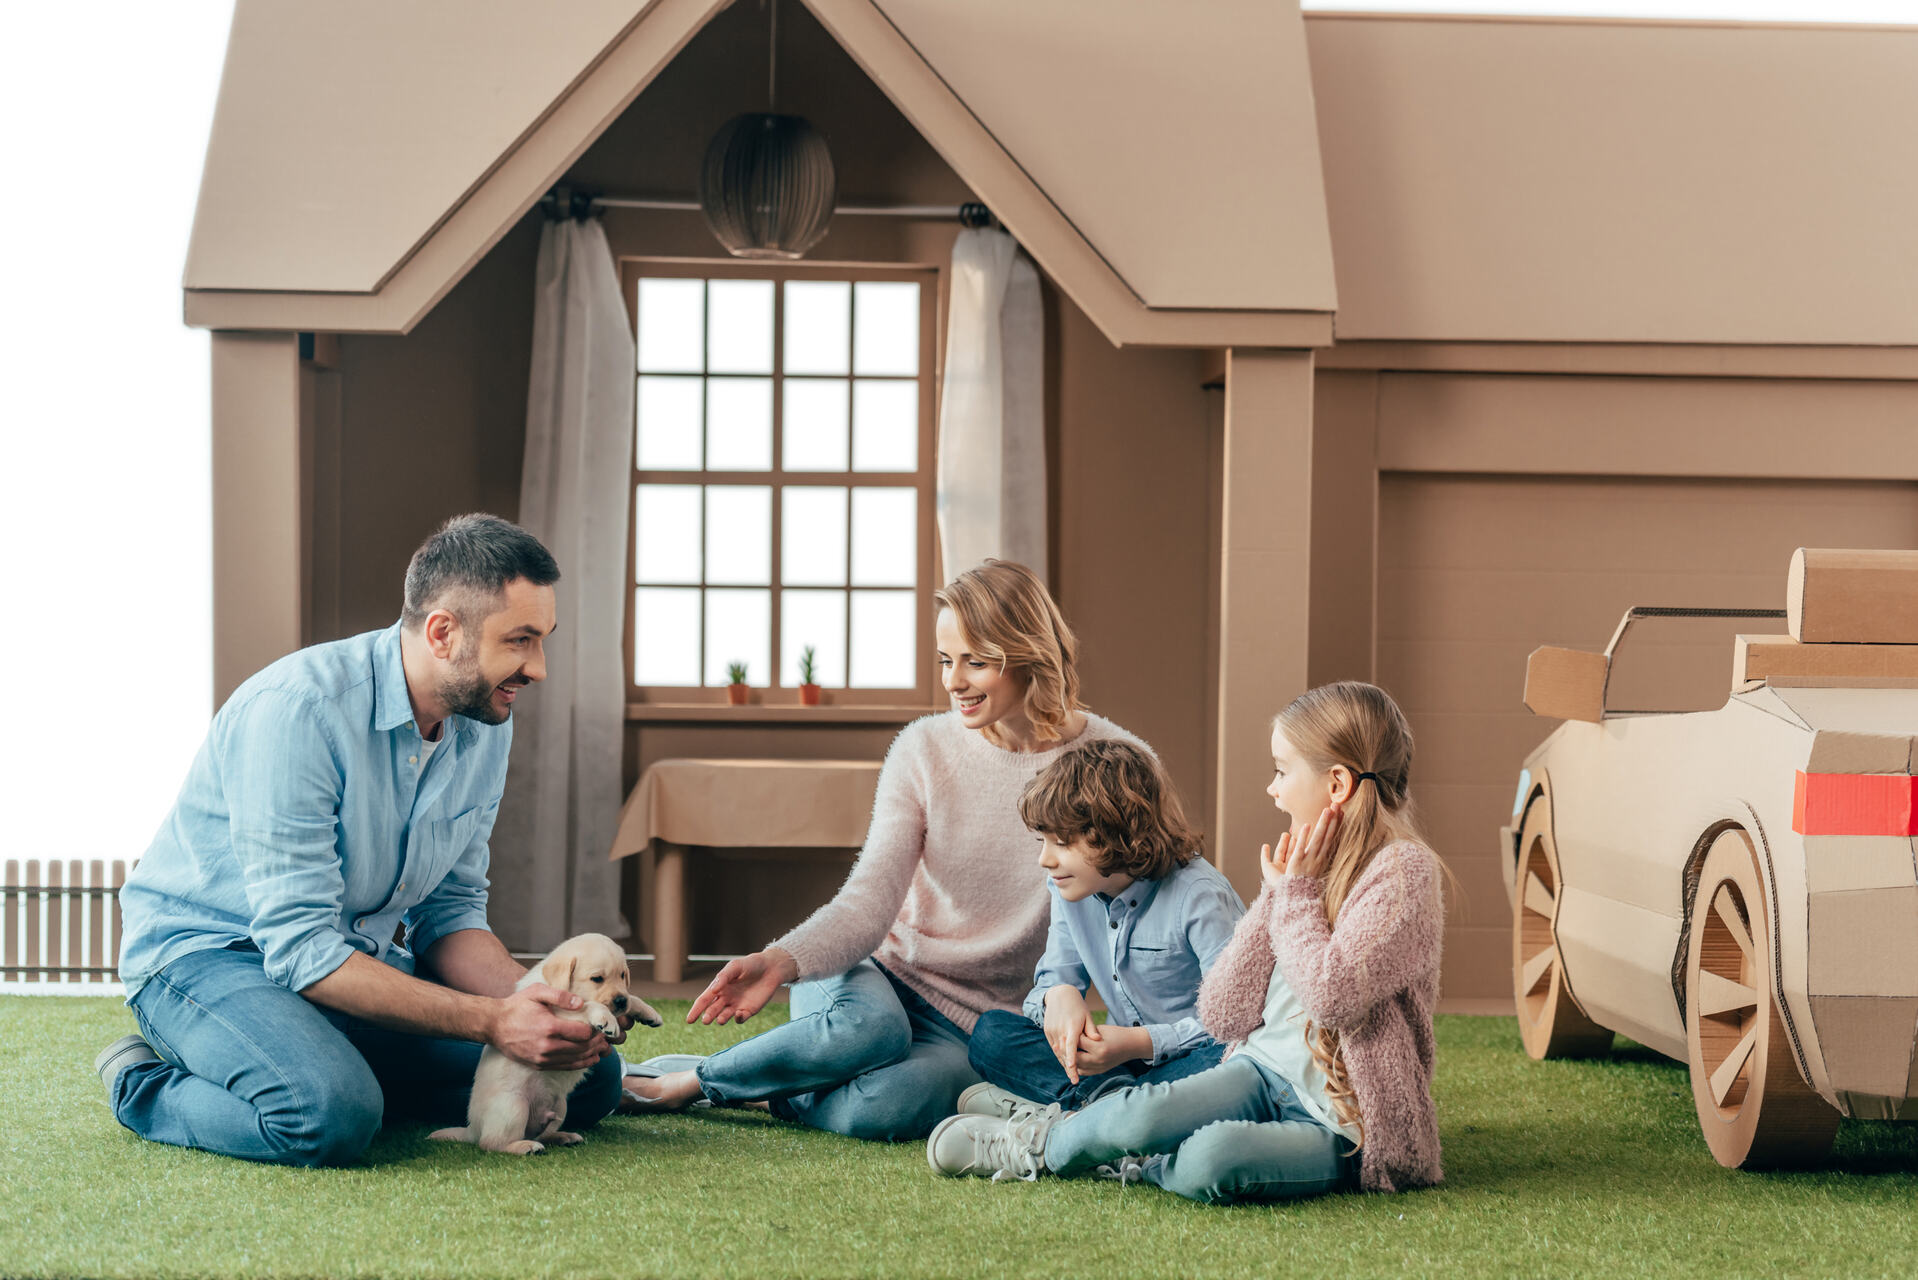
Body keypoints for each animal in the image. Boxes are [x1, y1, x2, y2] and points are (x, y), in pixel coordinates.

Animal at [431, 936, 663, 1159]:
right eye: (597, 978)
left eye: (623, 975)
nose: (620, 1001)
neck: (558, 984)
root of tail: (473, 1128)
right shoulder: (557, 1013)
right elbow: (587, 1005)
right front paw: (605, 1018)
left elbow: (633, 998)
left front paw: (648, 1011)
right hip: (513, 1107)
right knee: (491, 1143)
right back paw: (524, 1147)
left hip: (560, 1106)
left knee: (541, 1133)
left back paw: (563, 1137)